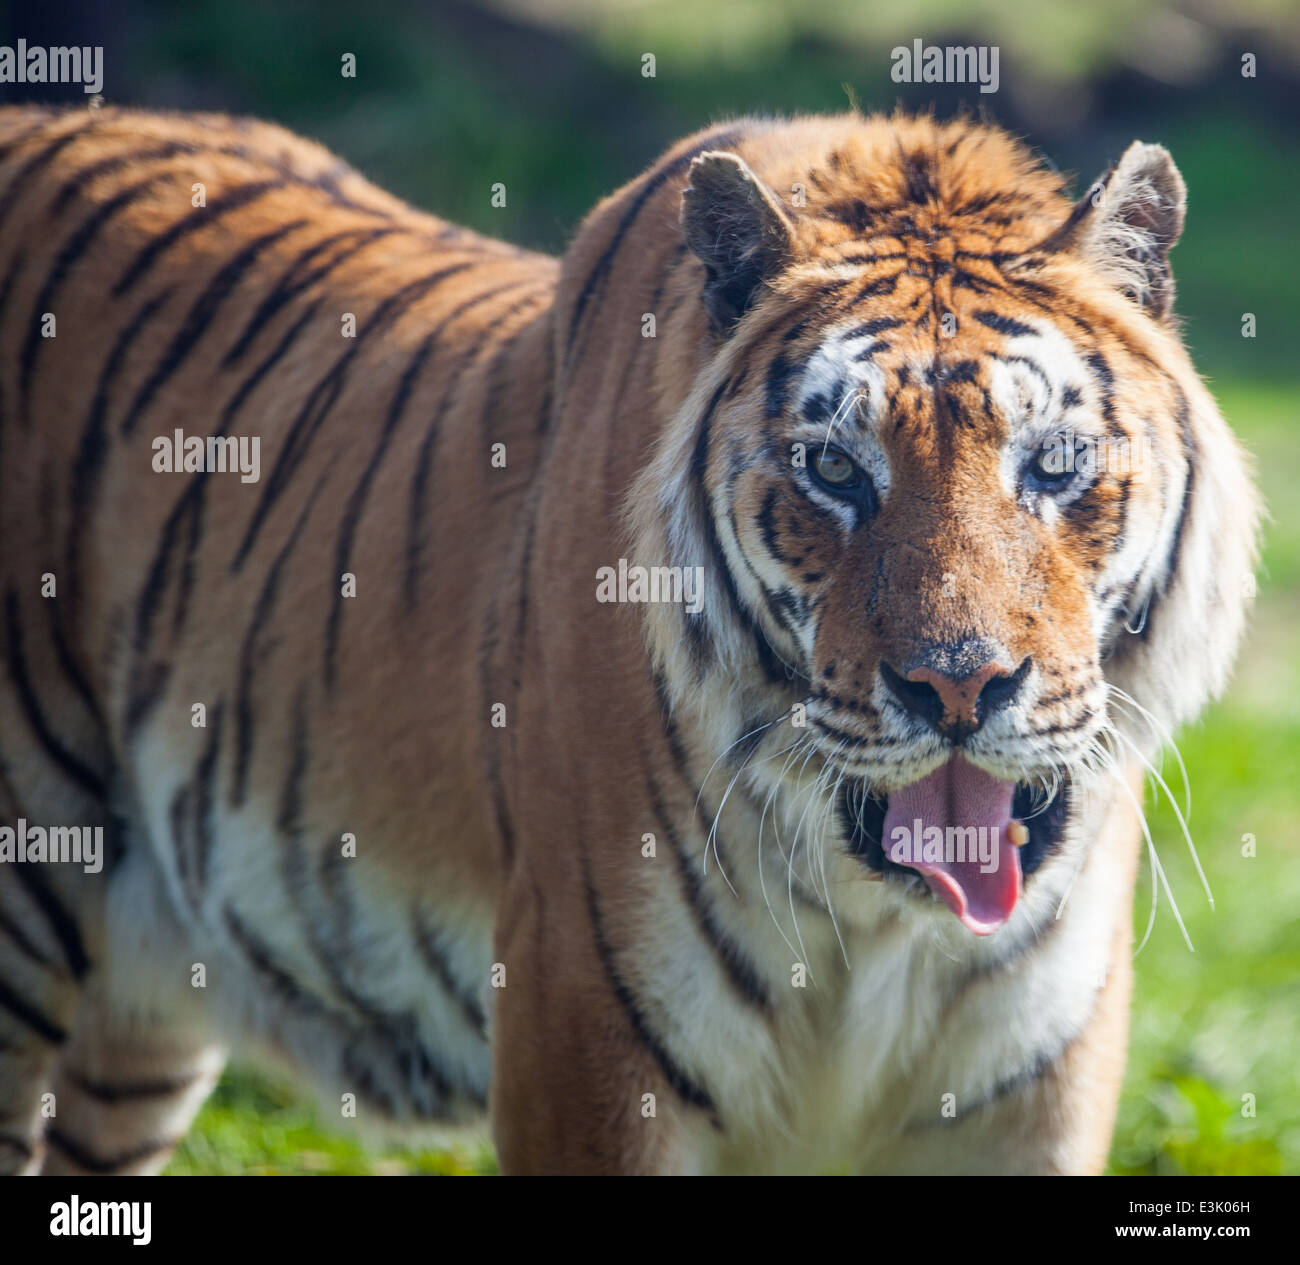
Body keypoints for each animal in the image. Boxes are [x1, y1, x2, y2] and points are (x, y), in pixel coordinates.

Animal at [0, 103, 1258, 1180]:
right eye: (835, 469)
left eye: (1052, 463)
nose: (958, 687)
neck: (873, 921)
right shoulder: (585, 1038)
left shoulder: (1030, 1090)